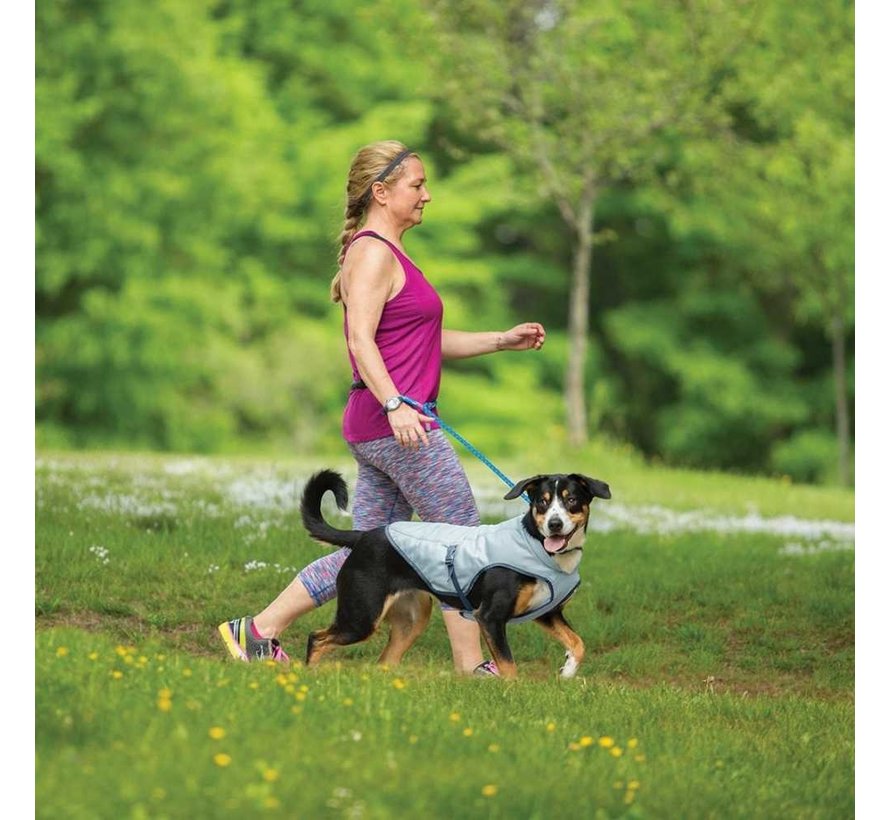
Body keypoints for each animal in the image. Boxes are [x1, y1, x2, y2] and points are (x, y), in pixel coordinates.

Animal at [298, 470, 612, 676]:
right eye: (543, 502)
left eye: (571, 500)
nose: (554, 524)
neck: (538, 546)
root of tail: (363, 536)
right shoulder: (490, 617)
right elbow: (509, 667)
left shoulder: (547, 613)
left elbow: (578, 643)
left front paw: (567, 670)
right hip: (361, 616)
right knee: (316, 638)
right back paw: (309, 678)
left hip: (411, 620)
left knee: (384, 661)